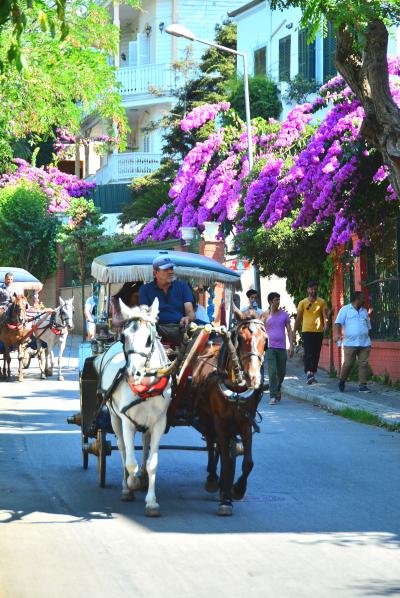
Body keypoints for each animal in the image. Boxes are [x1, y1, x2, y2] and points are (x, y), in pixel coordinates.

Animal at [95, 302, 173, 516]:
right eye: (124, 337)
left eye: (149, 339)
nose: (132, 373)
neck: (146, 387)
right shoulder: (126, 421)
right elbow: (130, 462)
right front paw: (132, 484)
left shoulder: (159, 422)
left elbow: (152, 462)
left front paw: (152, 502)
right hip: (114, 418)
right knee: (122, 448)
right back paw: (127, 485)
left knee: (145, 444)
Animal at [190, 314, 268, 516]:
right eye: (239, 338)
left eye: (265, 340)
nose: (253, 378)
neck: (236, 387)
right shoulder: (221, 422)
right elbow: (225, 459)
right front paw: (225, 499)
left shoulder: (245, 422)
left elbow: (248, 462)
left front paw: (237, 489)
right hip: (207, 417)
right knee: (211, 442)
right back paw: (212, 478)